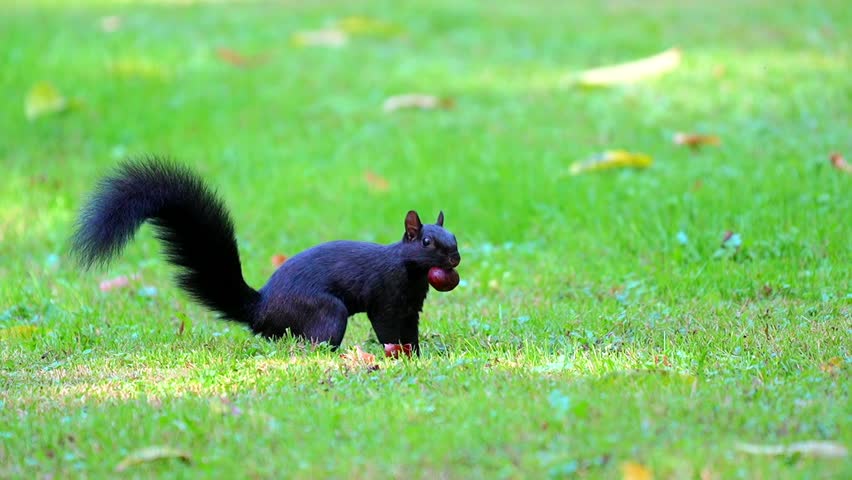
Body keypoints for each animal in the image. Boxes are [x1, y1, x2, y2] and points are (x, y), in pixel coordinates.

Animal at [71, 158, 461, 357]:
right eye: (427, 241)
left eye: (455, 237)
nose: (454, 259)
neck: (411, 273)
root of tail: (262, 310)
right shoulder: (386, 299)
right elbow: (387, 328)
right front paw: (396, 353)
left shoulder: (410, 308)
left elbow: (410, 332)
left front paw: (417, 355)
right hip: (325, 311)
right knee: (315, 342)